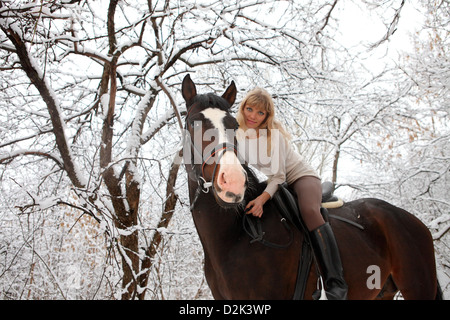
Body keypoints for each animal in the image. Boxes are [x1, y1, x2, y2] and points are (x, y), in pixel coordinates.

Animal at [181, 75, 442, 300]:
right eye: (193, 123)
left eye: (234, 125)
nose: (233, 181)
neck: (236, 236)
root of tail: (410, 219)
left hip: (419, 288)